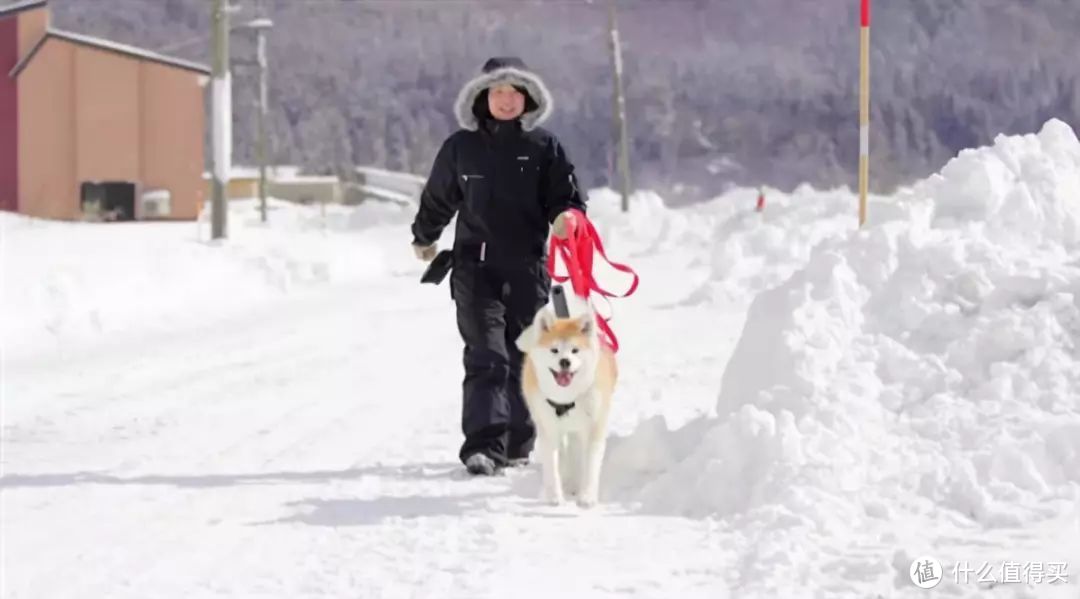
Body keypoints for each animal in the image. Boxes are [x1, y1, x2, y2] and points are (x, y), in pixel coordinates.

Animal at [514, 304, 617, 507]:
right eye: (554, 350)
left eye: (575, 350)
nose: (564, 361)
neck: (567, 399)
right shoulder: (549, 429)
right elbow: (552, 465)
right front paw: (554, 497)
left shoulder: (593, 427)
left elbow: (590, 465)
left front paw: (587, 497)